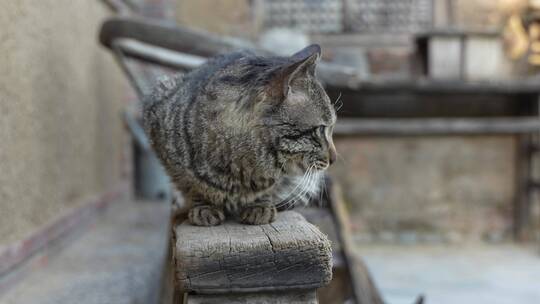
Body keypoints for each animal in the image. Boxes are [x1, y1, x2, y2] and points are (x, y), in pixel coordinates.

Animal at [143, 44, 338, 226]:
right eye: (321, 129)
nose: (334, 159)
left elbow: (271, 187)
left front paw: (260, 205)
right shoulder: (160, 134)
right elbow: (190, 183)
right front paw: (204, 205)